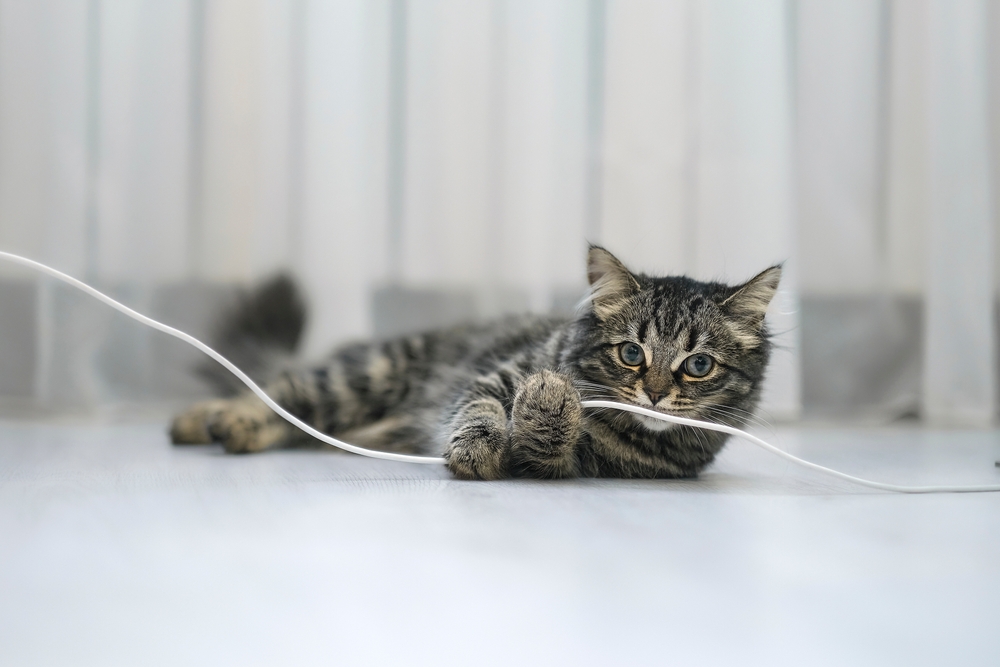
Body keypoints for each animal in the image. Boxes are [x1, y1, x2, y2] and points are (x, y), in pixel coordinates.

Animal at [172, 245, 780, 480]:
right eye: (632, 354)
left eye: (697, 366)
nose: (654, 393)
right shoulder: (494, 377)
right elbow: (481, 413)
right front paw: (481, 447)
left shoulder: (574, 465)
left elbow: (543, 443)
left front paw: (548, 406)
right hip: (364, 377)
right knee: (278, 390)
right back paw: (208, 418)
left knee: (298, 421)